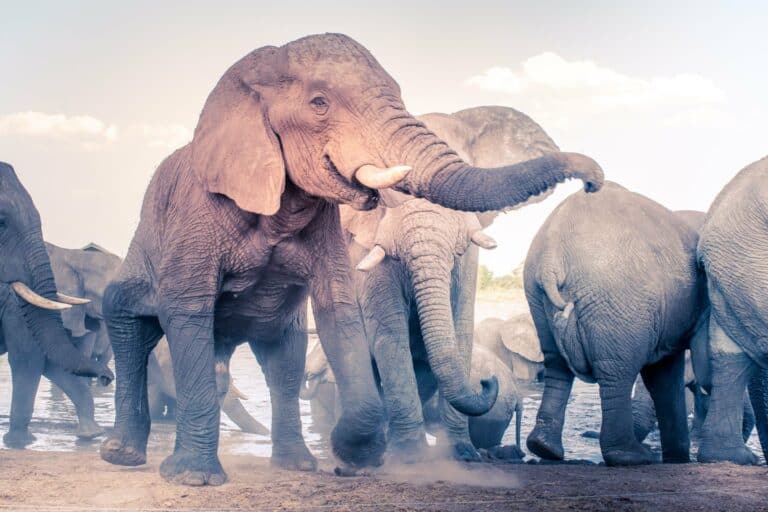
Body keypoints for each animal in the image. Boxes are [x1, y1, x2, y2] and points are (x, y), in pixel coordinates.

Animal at [0, 162, 113, 447]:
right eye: (1, 222)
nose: (107, 378)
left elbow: (50, 358)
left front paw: (90, 435)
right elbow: (28, 355)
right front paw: (20, 442)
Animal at [340, 105, 559, 461]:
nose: (487, 383)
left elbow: (461, 325)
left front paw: (461, 454)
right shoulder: (366, 244)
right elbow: (389, 331)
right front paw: (411, 456)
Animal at [524, 182, 707, 466]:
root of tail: (551, 258)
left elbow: (665, 374)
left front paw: (678, 459)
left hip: (536, 293)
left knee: (556, 363)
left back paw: (544, 448)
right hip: (617, 296)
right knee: (618, 369)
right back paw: (632, 457)